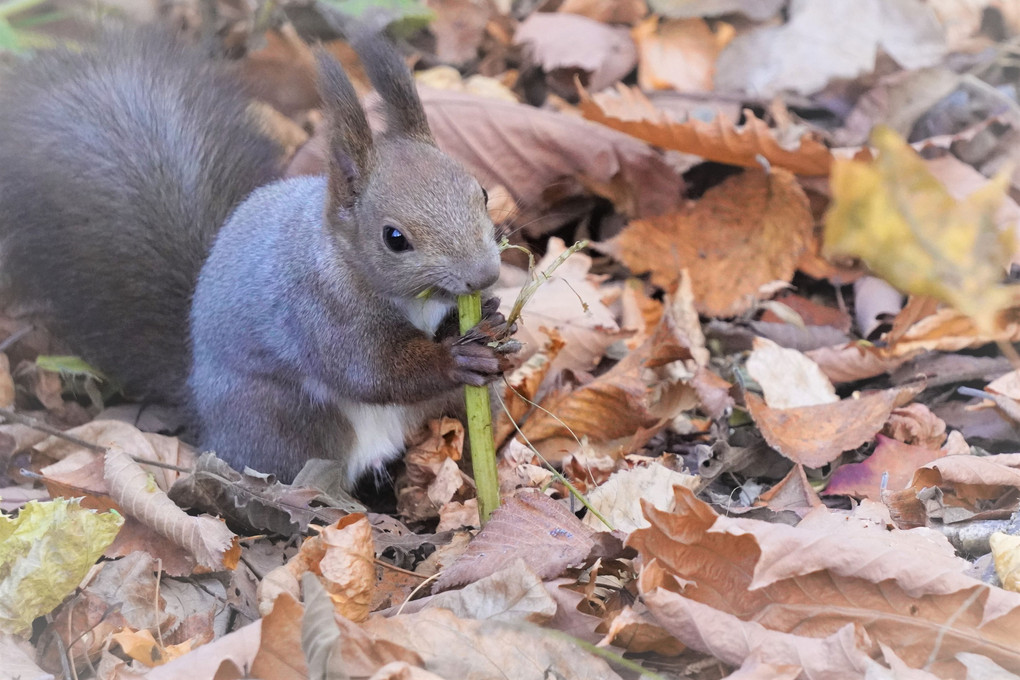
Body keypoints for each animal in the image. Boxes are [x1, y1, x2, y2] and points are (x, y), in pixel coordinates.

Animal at [0, 25, 505, 483]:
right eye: (394, 237)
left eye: (481, 192)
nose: (483, 276)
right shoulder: (321, 314)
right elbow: (372, 372)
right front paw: (452, 358)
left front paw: (493, 318)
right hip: (278, 420)